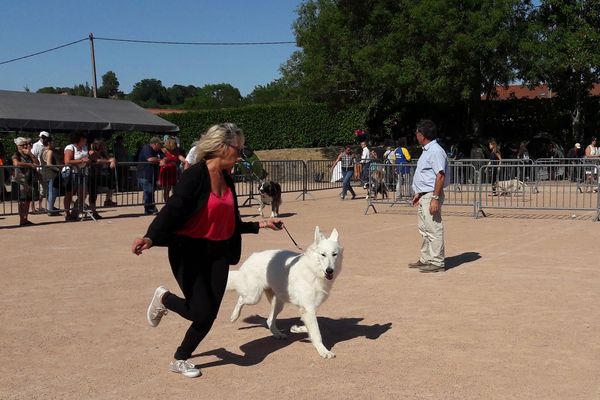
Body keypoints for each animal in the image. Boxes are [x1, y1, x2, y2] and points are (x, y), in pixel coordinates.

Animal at [226, 228, 342, 360]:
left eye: (334, 254)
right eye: (323, 255)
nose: (329, 270)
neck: (313, 271)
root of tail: (252, 256)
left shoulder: (310, 309)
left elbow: (309, 326)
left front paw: (297, 329)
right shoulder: (308, 308)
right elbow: (317, 333)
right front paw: (323, 351)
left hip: (278, 304)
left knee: (269, 320)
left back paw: (278, 334)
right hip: (253, 297)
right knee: (241, 299)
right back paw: (234, 316)